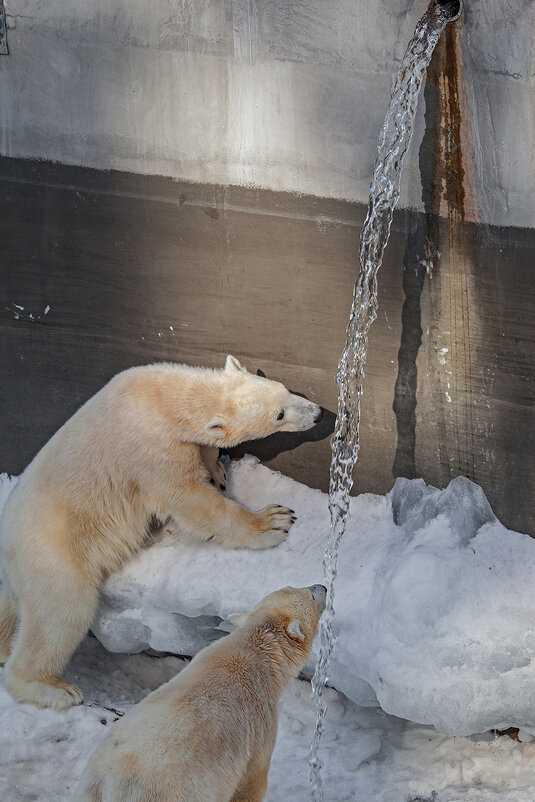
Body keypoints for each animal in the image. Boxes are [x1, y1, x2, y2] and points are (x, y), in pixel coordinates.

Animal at [0, 354, 322, 708]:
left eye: (284, 390)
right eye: (278, 415)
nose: (318, 413)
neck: (162, 398)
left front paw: (218, 471)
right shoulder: (152, 450)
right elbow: (190, 499)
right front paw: (274, 520)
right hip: (52, 551)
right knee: (63, 612)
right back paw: (52, 687)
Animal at [75, 580, 326, 800]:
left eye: (293, 585)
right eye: (311, 595)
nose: (322, 586)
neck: (258, 653)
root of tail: (111, 784)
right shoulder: (258, 731)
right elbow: (251, 785)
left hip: (90, 790)